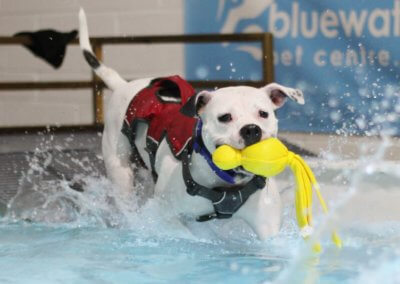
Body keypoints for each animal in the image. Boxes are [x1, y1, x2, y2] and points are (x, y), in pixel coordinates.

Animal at [78, 9, 304, 240]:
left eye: (263, 114)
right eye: (225, 117)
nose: (251, 129)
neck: (225, 183)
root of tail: (123, 86)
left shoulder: (268, 226)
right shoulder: (165, 216)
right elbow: (186, 234)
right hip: (120, 170)